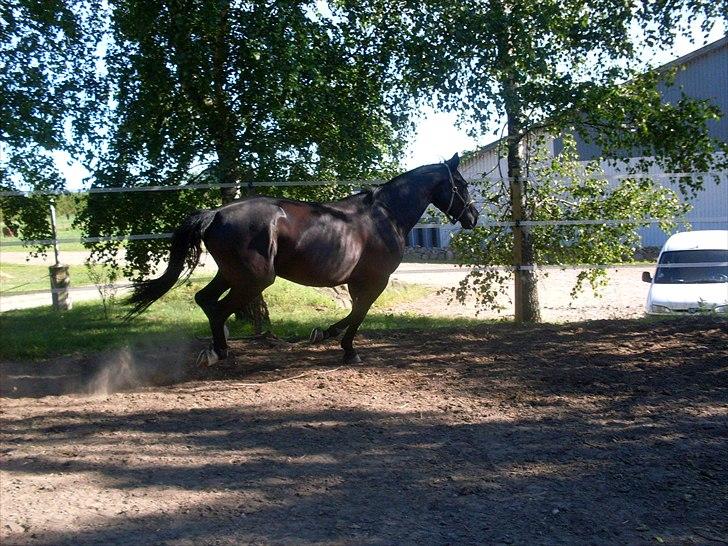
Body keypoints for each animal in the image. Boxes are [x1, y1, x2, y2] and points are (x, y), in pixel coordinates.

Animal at [125, 153, 478, 364]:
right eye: (460, 184)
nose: (473, 217)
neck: (384, 216)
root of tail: (216, 214)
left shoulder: (357, 280)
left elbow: (355, 311)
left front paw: (327, 336)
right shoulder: (376, 279)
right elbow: (360, 312)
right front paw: (344, 347)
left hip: (230, 274)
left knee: (205, 299)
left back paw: (216, 350)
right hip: (254, 279)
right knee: (219, 308)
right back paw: (222, 352)